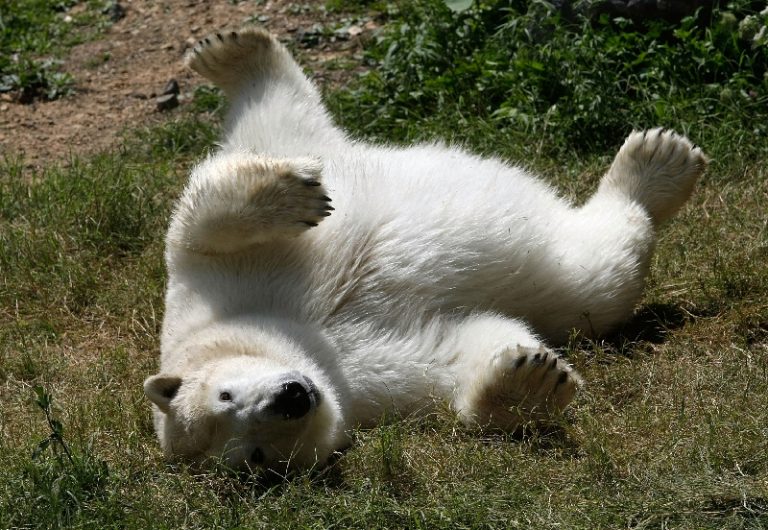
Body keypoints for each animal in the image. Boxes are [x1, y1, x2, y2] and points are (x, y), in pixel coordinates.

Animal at [143, 28, 708, 473]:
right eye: (256, 456)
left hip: (308, 148)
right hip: (555, 274)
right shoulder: (367, 383)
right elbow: (456, 351)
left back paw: (231, 51)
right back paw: (659, 165)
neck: (302, 339)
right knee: (594, 280)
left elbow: (197, 229)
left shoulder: (208, 293)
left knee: (276, 119)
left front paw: (288, 198)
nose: (291, 398)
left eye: (225, 392)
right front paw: (530, 377)